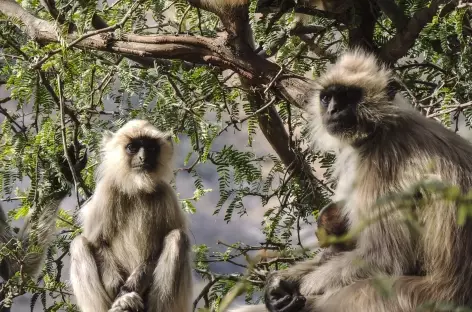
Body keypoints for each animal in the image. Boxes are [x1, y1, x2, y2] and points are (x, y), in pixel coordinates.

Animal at [70, 119, 192, 312]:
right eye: (132, 148)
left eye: (151, 148)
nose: (143, 158)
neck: (137, 188)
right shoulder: (107, 190)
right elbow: (97, 242)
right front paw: (117, 289)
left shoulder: (166, 194)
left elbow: (156, 252)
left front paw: (126, 290)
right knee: (79, 244)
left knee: (177, 238)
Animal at [230, 48, 472, 312]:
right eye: (327, 98)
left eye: (347, 96)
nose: (333, 110)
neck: (382, 128)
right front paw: (279, 283)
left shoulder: (380, 161)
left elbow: (384, 259)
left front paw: (294, 289)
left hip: (410, 298)